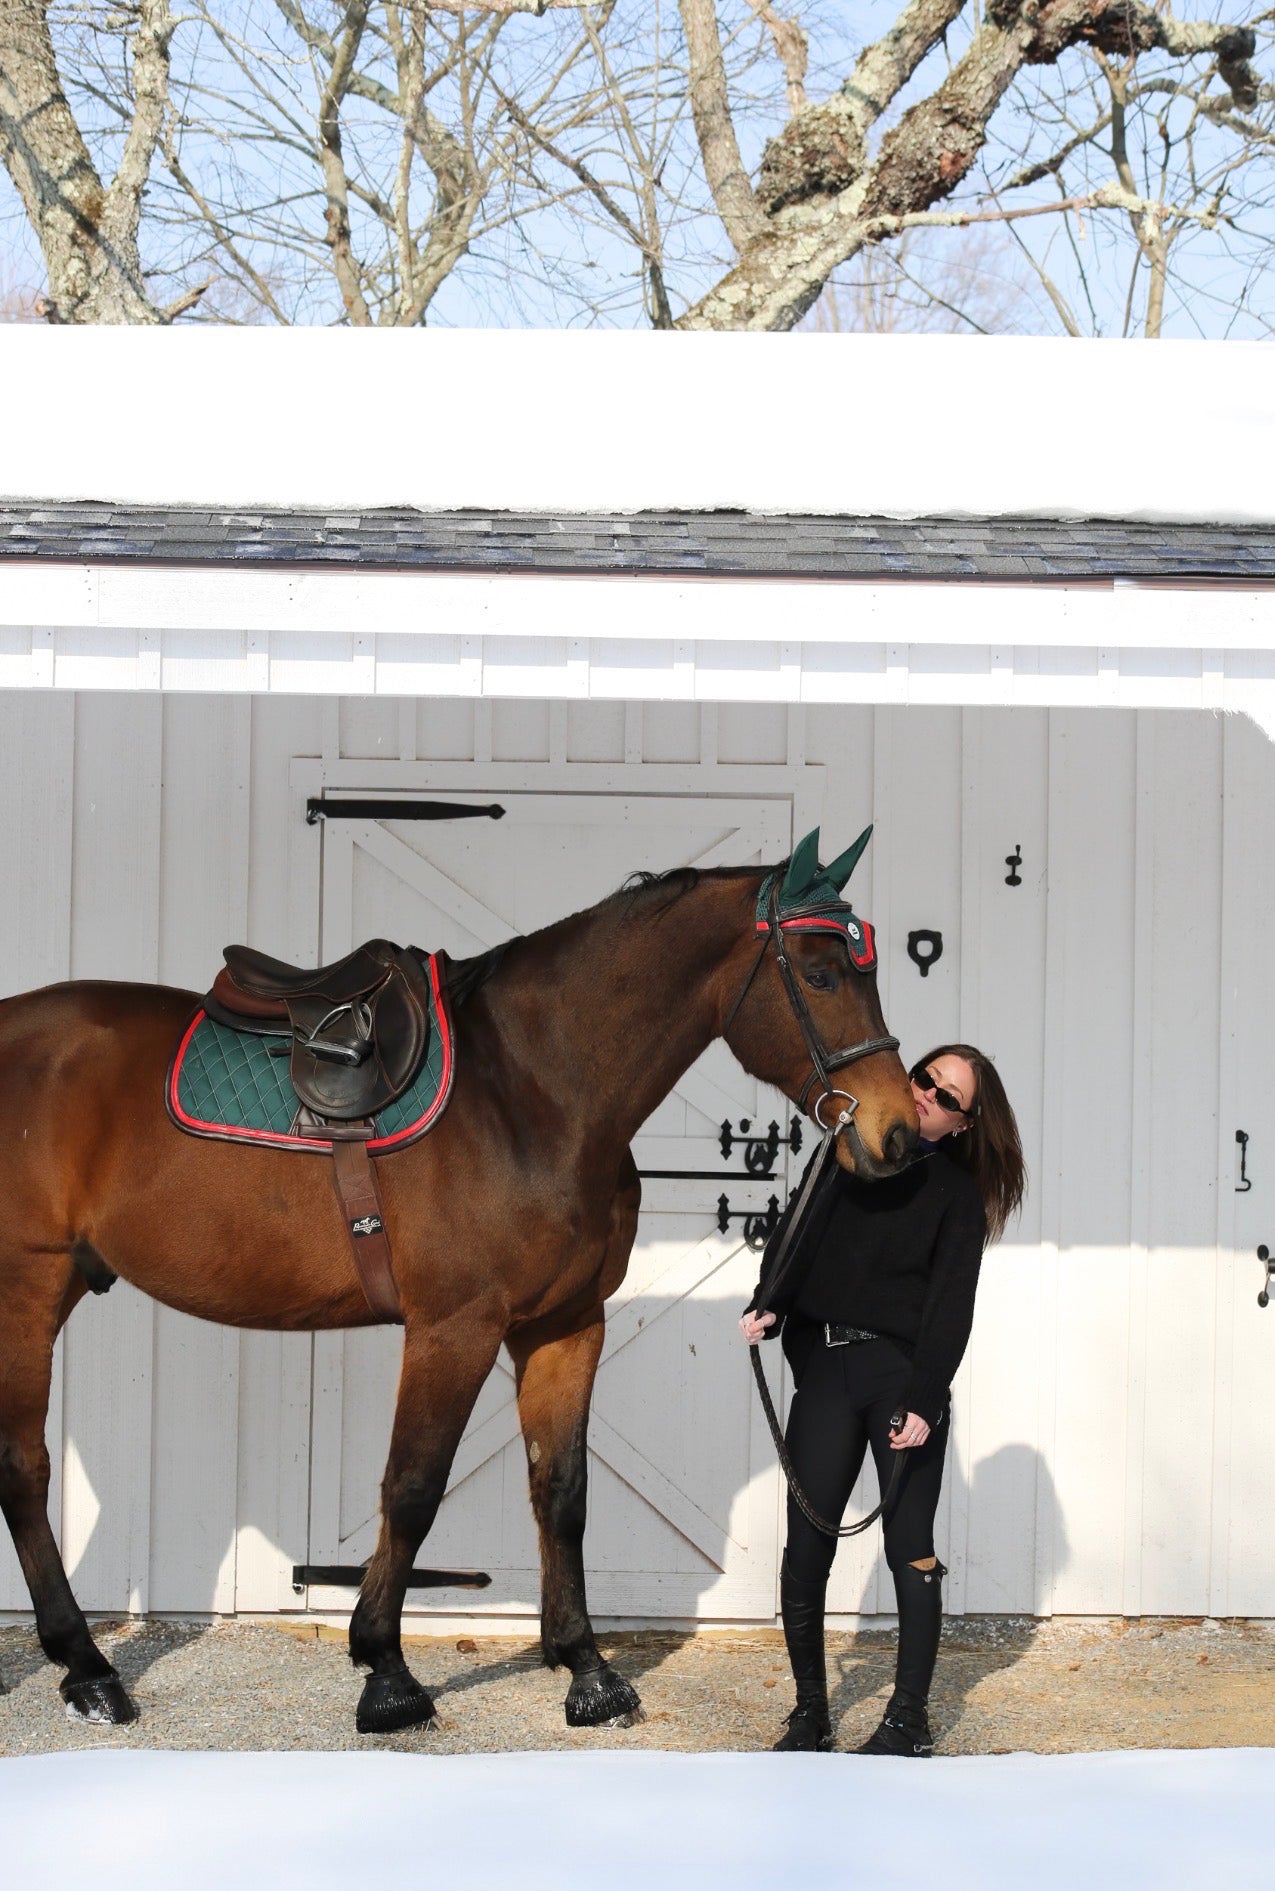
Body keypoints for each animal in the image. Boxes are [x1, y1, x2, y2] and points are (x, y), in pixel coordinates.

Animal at [0, 827, 917, 1735]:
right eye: (820, 972)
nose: (898, 1132)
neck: (530, 1089)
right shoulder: (455, 1325)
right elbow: (412, 1487)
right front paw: (386, 1671)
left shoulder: (566, 1323)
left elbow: (562, 1489)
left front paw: (586, 1669)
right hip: (26, 1288)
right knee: (24, 1468)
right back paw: (88, 1668)